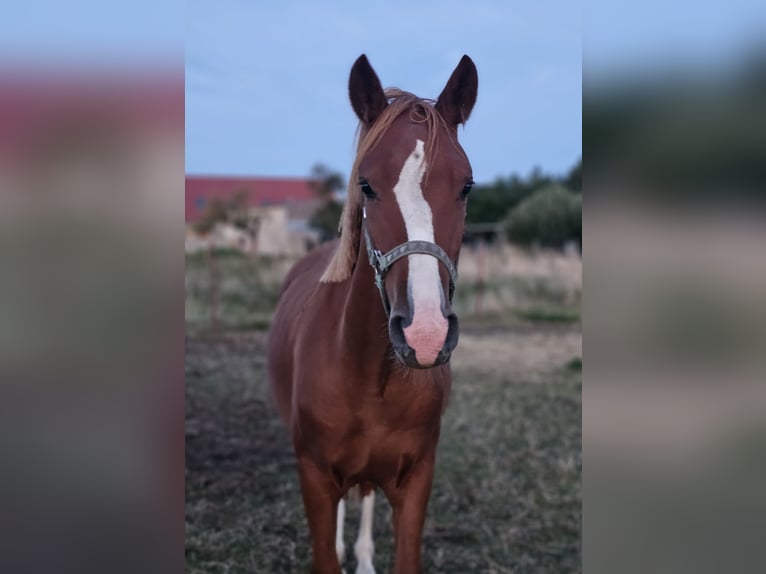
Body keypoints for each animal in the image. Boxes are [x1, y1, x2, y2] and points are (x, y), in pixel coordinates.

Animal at [268, 54, 476, 574]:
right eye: (366, 184)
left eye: (466, 185)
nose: (425, 334)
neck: (365, 375)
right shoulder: (315, 479)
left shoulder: (416, 479)